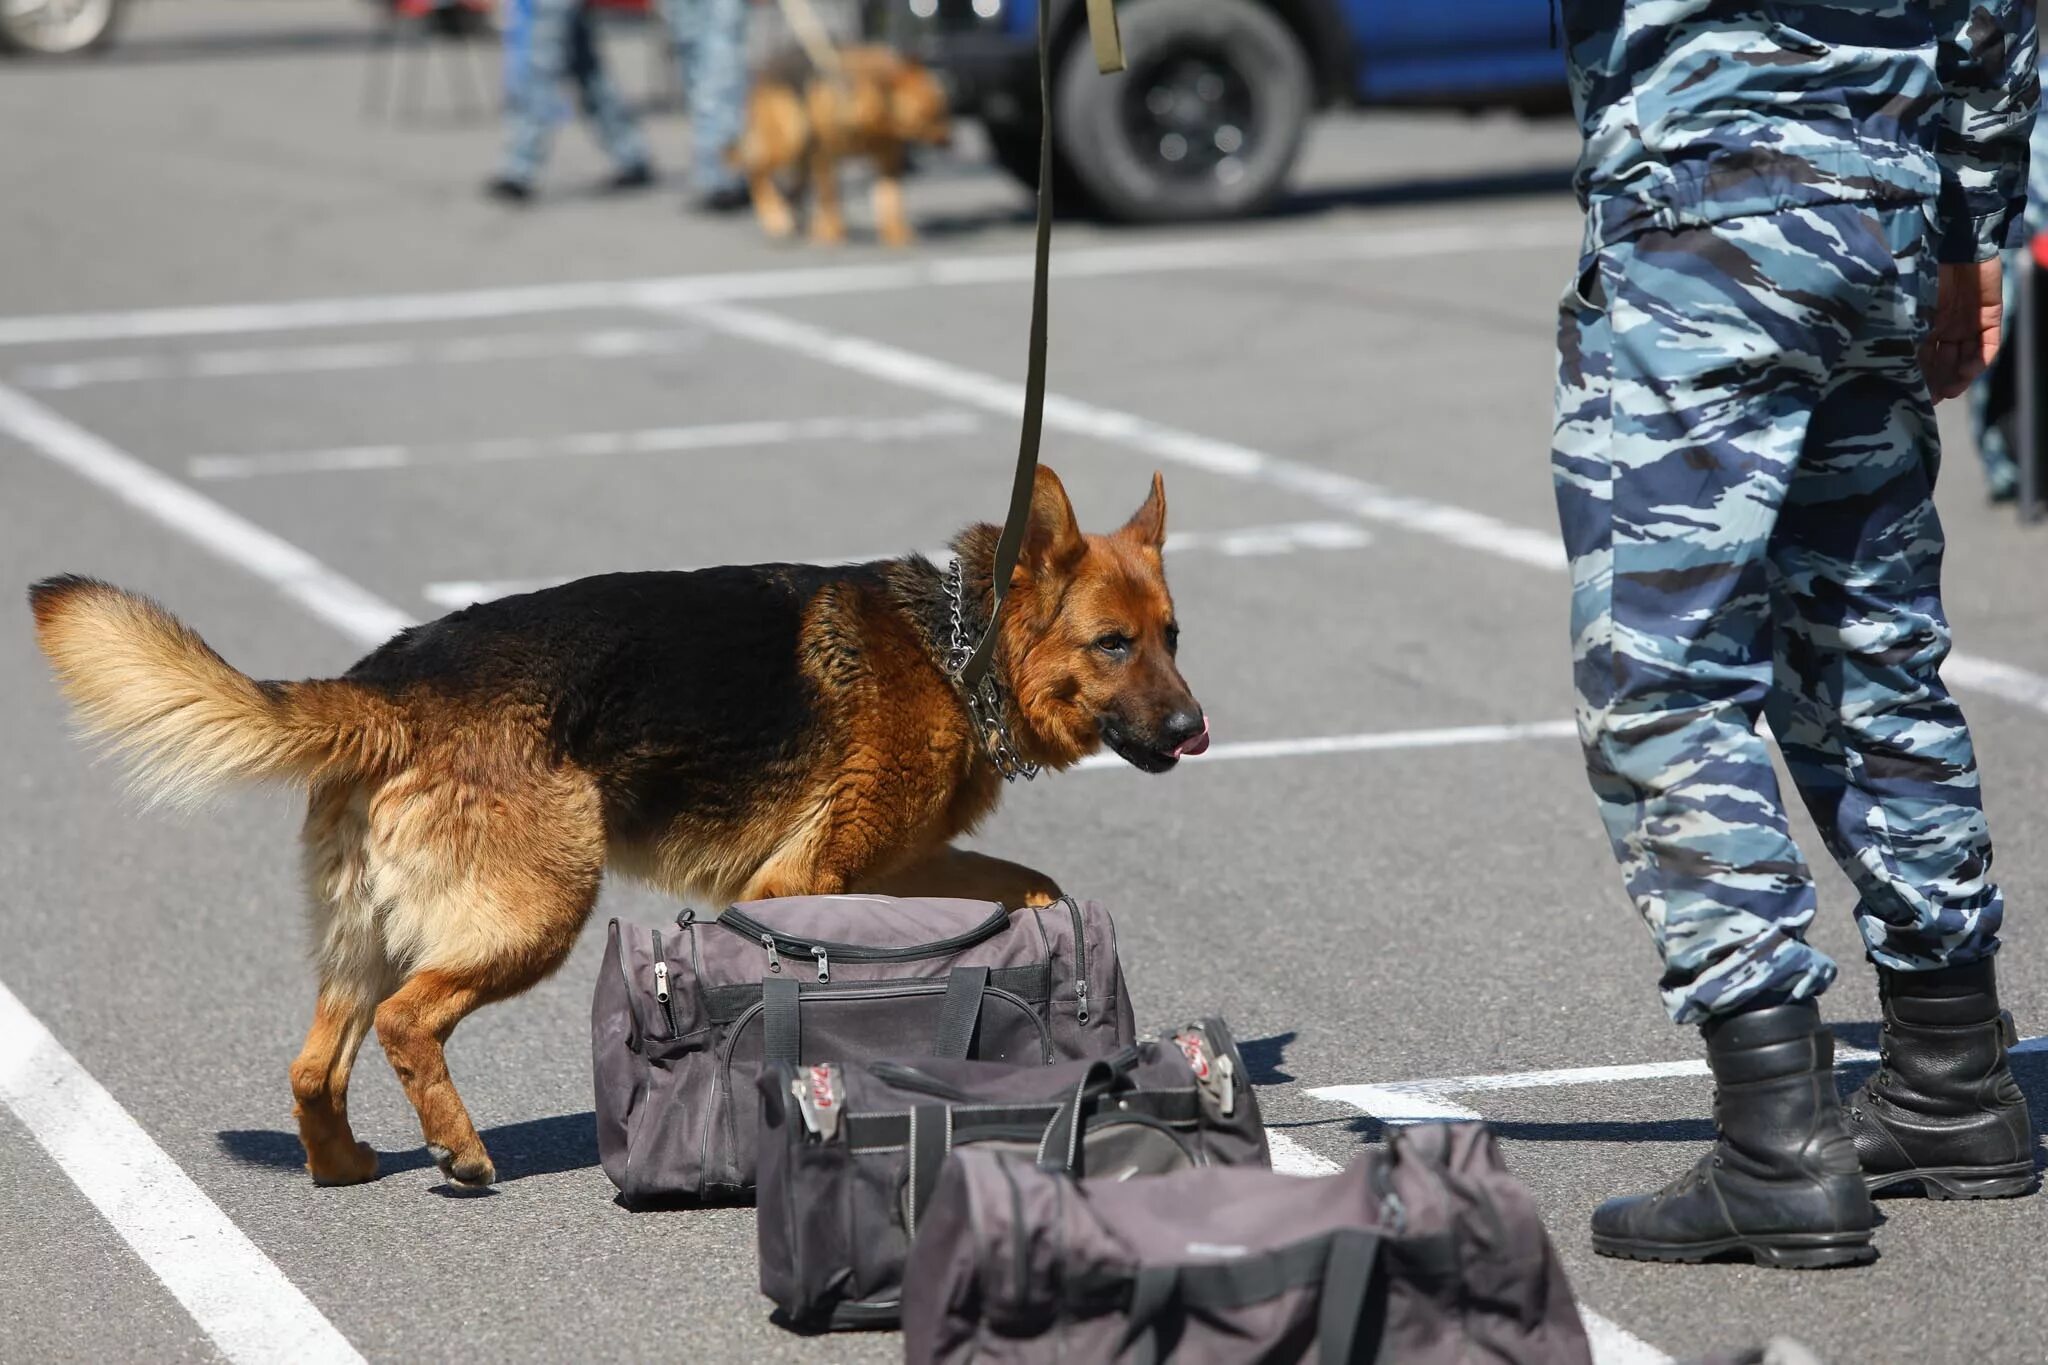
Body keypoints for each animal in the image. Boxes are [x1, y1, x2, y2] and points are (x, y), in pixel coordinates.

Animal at [28, 466, 1196, 1186]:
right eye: (1111, 644)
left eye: (1172, 636)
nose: (1196, 731)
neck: (957, 647)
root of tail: (388, 686)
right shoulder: (801, 880)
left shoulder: (908, 861)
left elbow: (1030, 882)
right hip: (537, 913)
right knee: (408, 1022)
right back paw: (460, 1154)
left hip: (363, 936)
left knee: (316, 1065)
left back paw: (345, 1165)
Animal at [733, 43, 954, 248]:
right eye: (928, 116)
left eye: (943, 110)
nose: (950, 141)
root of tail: (764, 71)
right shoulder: (824, 156)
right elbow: (830, 197)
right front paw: (831, 234)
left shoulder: (887, 159)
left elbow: (890, 198)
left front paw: (896, 233)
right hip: (789, 140)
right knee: (755, 170)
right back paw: (775, 218)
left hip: (802, 152)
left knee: (794, 188)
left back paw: (796, 220)